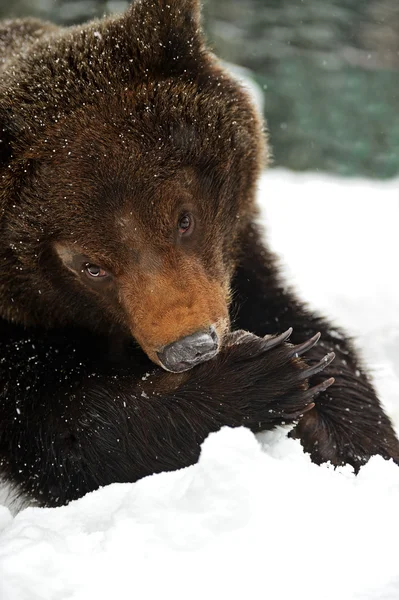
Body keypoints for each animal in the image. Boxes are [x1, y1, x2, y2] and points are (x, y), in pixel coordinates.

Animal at [0, 1, 398, 506]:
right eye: (90, 267)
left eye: (183, 219)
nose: (191, 348)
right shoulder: (21, 337)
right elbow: (66, 430)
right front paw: (264, 374)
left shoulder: (238, 256)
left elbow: (308, 329)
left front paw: (350, 428)